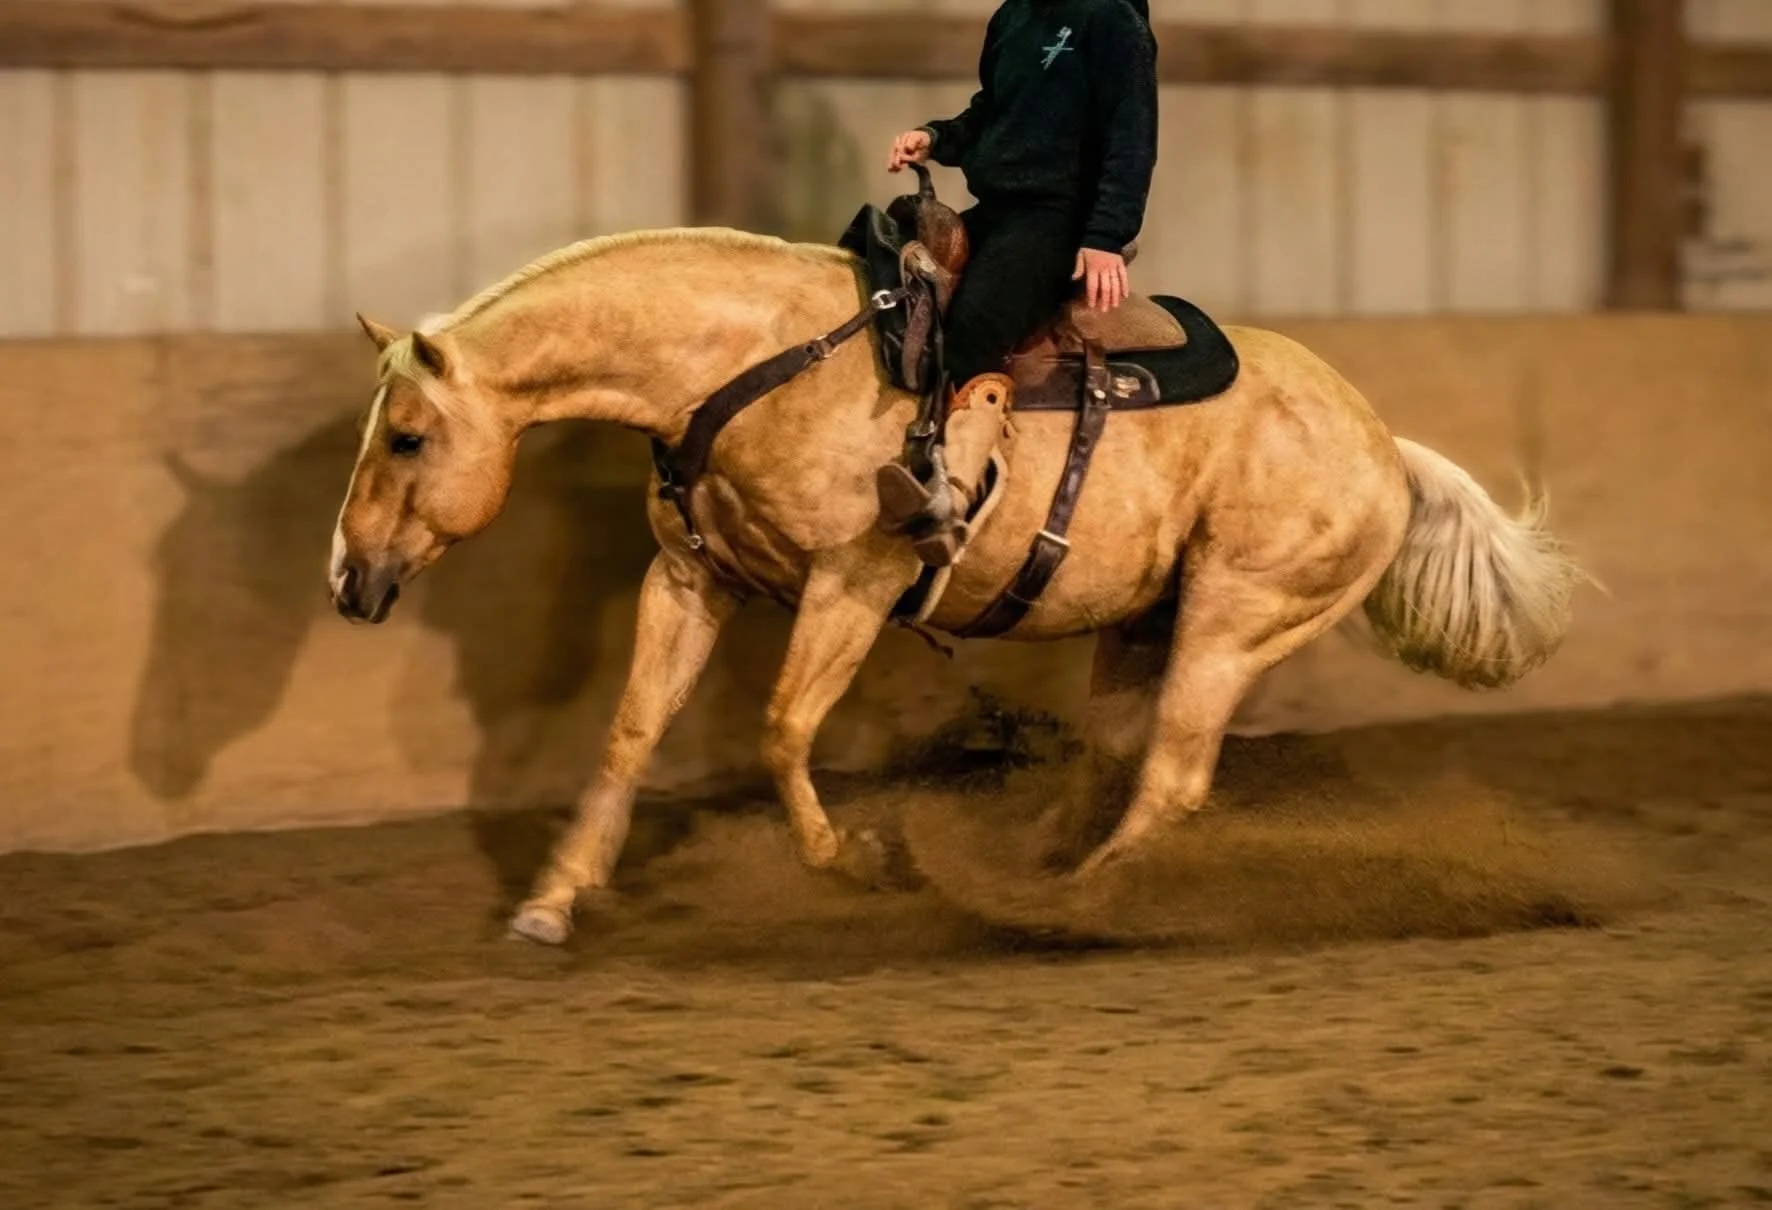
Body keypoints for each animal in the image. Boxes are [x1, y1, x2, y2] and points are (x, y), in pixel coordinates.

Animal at [327, 225, 1587, 947]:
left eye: (406, 437)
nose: (346, 578)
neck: (757, 363)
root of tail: (1384, 451)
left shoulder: (855, 579)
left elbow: (783, 728)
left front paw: (854, 859)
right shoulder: (687, 579)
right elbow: (631, 732)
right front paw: (552, 897)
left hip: (1233, 623)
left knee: (1173, 780)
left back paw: (1064, 907)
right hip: (1148, 624)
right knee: (1124, 762)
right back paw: (1047, 870)